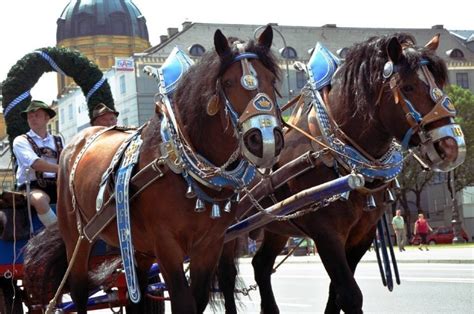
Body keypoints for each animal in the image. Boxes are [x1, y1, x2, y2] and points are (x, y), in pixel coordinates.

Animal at [25, 25, 282, 312]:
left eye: (271, 79)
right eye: (227, 83)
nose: (265, 139)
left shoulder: (211, 244)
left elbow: (199, 298)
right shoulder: (166, 245)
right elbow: (184, 302)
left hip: (136, 247)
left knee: (136, 294)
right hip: (77, 241)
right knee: (79, 290)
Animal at [220, 33, 464, 312]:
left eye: (440, 83)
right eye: (408, 87)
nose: (452, 145)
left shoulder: (362, 235)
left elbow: (336, 293)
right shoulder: (326, 234)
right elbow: (349, 294)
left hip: (275, 225)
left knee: (260, 265)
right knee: (226, 275)